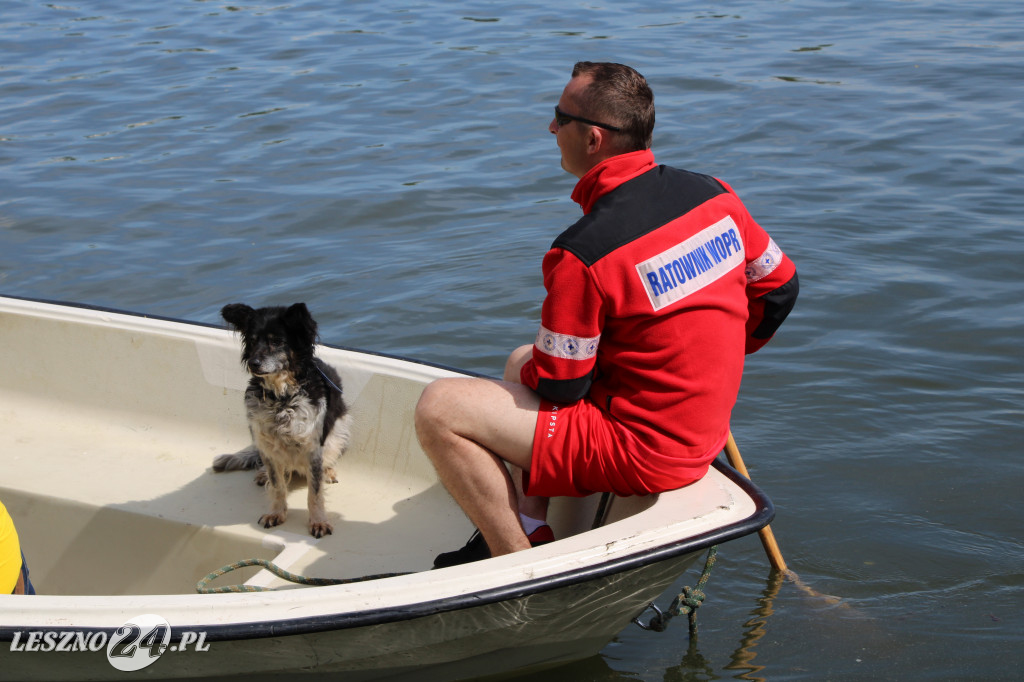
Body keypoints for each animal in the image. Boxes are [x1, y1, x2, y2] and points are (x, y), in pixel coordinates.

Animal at [214, 303, 350, 536]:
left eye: (276, 341)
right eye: (252, 341)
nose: (253, 363)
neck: (282, 399)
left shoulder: (313, 449)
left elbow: (315, 493)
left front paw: (318, 521)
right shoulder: (267, 446)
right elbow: (277, 485)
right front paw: (276, 513)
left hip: (341, 428)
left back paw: (328, 471)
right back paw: (262, 474)